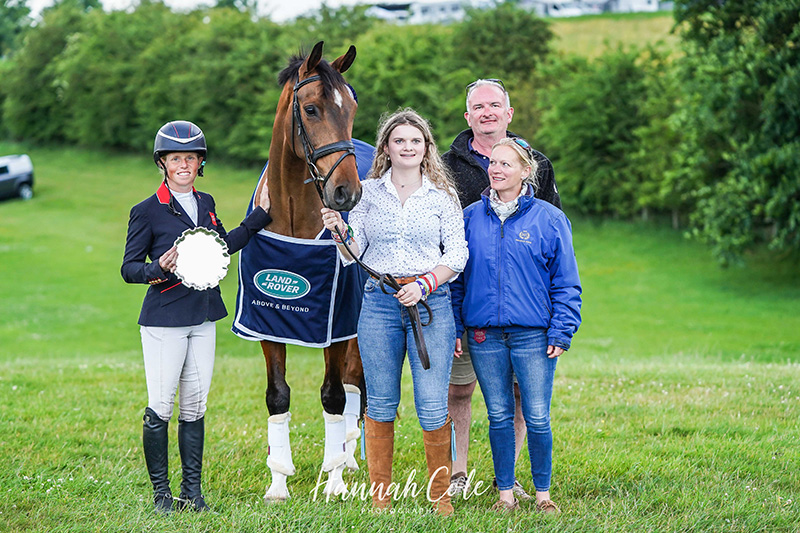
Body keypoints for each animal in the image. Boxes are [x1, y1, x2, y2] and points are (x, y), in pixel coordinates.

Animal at [232, 42, 368, 503]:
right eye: (311, 109)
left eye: (352, 108)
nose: (347, 192)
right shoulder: (266, 321)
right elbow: (277, 396)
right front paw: (278, 482)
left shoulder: (336, 325)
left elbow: (333, 395)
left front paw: (335, 480)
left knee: (353, 386)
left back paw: (347, 459)